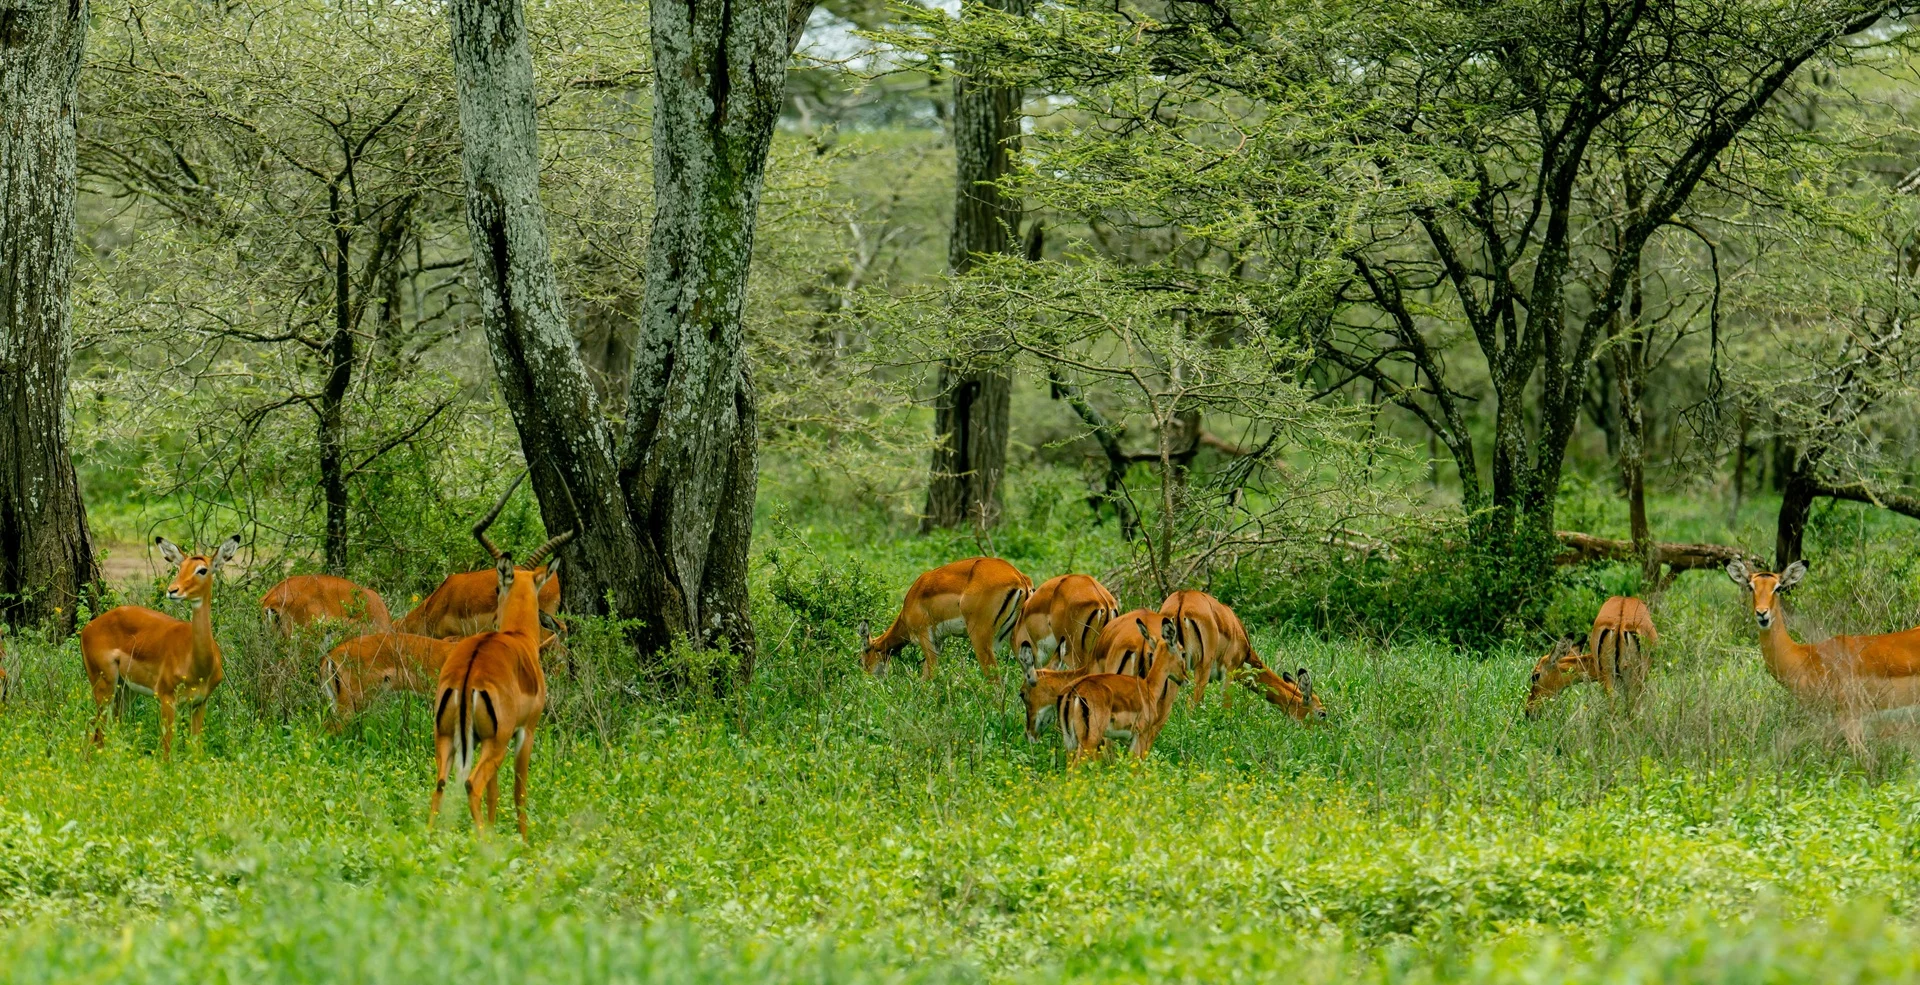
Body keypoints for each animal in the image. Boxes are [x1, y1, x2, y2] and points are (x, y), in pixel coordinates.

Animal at [79, 535, 241, 760]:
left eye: (202, 569)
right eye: (180, 567)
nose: (173, 590)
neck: (198, 666)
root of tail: (88, 628)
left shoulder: (200, 703)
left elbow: (196, 748)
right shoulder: (166, 699)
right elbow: (167, 750)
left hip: (125, 690)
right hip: (105, 685)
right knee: (95, 730)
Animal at [429, 521, 574, 842]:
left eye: (497, 587)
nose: (494, 619)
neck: (519, 639)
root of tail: (468, 676)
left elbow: (494, 794)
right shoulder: (524, 732)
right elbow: (519, 792)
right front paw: (525, 841)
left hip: (449, 738)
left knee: (441, 785)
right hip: (495, 742)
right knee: (472, 784)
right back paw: (485, 843)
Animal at [859, 557, 1032, 680]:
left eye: (861, 660)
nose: (867, 681)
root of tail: (1019, 577)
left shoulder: (924, 636)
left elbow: (931, 674)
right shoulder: (938, 641)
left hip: (980, 639)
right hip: (1016, 640)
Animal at [1057, 617, 1190, 765]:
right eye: (1183, 652)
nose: (1186, 678)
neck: (1149, 687)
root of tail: (1073, 691)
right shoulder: (1141, 736)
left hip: (1070, 742)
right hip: (1089, 741)